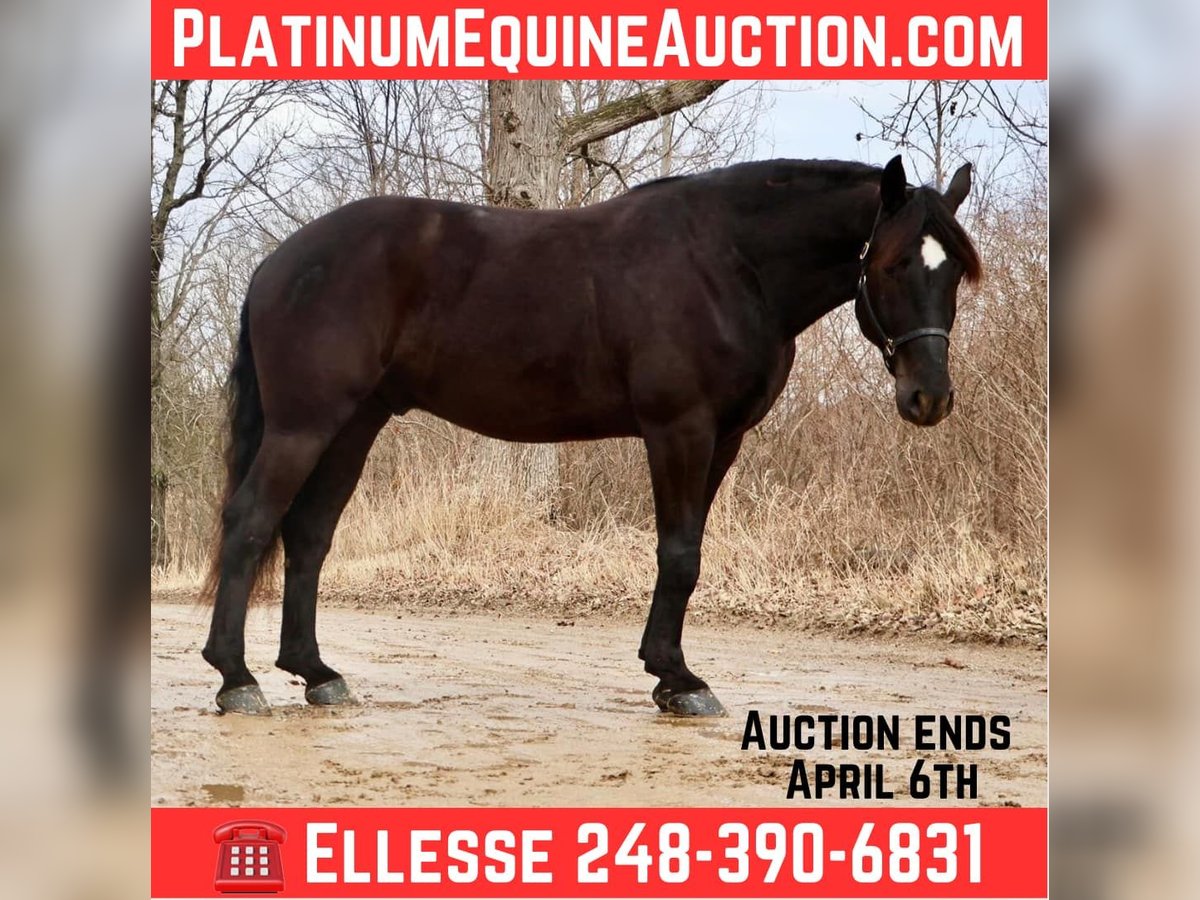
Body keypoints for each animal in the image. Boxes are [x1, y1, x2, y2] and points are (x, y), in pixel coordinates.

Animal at [202, 154, 980, 717]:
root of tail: (277, 263)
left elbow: (690, 551)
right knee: (250, 521)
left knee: (308, 536)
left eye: (955, 273)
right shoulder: (678, 429)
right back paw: (236, 679)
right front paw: (679, 679)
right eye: (894, 263)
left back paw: (315, 673)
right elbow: (678, 554)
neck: (728, 262)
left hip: (354, 424)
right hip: (305, 423)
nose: (930, 398)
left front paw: (669, 675)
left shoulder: (723, 440)